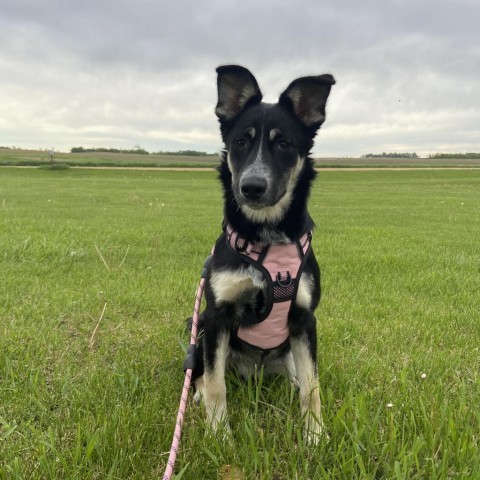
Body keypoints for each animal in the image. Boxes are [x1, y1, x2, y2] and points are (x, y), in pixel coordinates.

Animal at [190, 64, 334, 442]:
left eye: (283, 144)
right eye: (241, 142)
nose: (252, 187)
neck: (266, 236)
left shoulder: (304, 318)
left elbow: (312, 386)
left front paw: (315, 436)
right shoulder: (216, 316)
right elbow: (216, 385)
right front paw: (219, 436)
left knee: (296, 375)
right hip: (197, 329)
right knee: (202, 373)